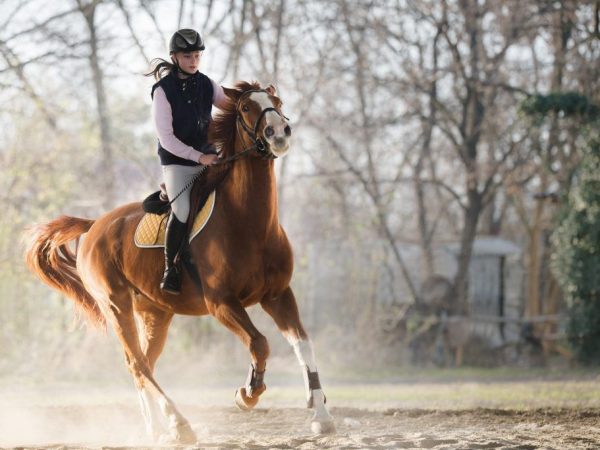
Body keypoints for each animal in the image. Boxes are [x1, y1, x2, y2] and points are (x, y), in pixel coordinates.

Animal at [24, 81, 332, 442]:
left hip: (155, 313)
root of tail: (94, 225)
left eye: (277, 102)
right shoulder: (221, 303)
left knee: (143, 365)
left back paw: (158, 428)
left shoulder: (278, 295)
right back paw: (179, 423)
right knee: (137, 363)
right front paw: (247, 393)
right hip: (116, 305)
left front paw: (321, 415)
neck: (251, 223)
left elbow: (303, 344)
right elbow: (259, 343)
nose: (279, 133)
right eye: (245, 108)